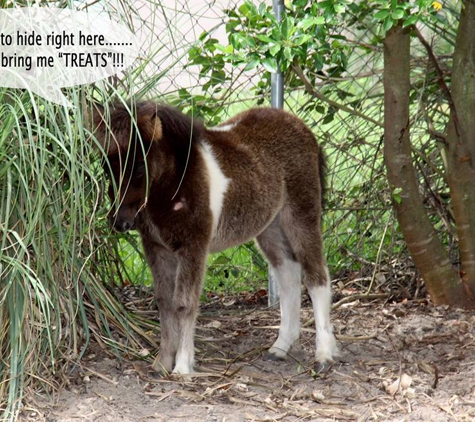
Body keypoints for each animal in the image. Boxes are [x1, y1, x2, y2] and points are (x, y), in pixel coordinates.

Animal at [94, 102, 338, 372]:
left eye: (139, 167)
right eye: (105, 165)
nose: (119, 222)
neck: (175, 185)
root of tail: (303, 128)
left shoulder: (193, 247)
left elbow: (184, 304)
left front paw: (182, 367)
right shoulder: (157, 248)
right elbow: (165, 303)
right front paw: (162, 363)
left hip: (301, 215)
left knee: (316, 277)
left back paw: (324, 354)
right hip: (269, 226)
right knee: (288, 274)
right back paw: (280, 347)